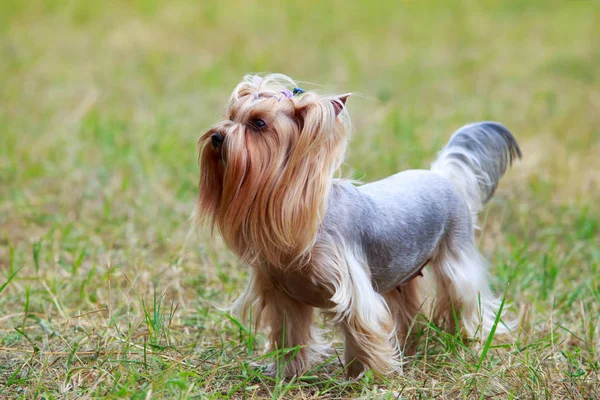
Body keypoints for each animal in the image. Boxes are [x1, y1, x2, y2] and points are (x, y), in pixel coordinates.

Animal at [196, 74, 520, 378]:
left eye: (259, 123)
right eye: (231, 115)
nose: (216, 136)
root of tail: (443, 175)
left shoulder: (352, 291)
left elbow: (361, 330)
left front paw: (364, 376)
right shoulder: (284, 295)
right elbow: (290, 333)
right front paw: (285, 372)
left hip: (456, 253)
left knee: (465, 296)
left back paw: (470, 341)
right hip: (403, 275)